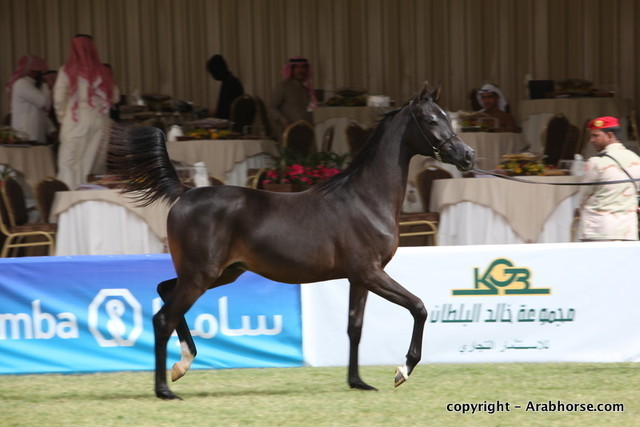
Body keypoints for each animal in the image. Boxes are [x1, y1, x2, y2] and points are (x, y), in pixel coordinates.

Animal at [108, 82, 475, 400]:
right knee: (163, 318)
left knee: (165, 292)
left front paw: (358, 382)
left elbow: (354, 327)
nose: (468, 155)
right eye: (431, 119)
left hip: (220, 273)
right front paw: (402, 370)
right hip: (201, 275)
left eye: (447, 116)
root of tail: (185, 192)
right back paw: (165, 389)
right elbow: (419, 307)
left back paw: (181, 365)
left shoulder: (358, 278)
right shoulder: (371, 273)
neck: (365, 199)